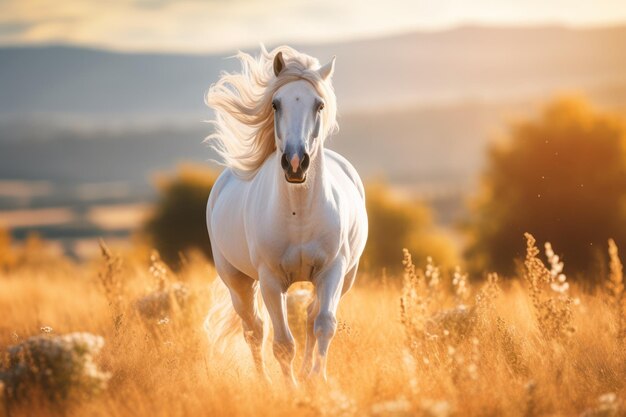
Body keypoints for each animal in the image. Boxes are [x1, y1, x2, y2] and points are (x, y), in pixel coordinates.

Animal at [205, 46, 366, 384]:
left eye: (319, 105)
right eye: (276, 104)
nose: (295, 163)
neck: (299, 212)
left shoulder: (332, 271)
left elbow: (323, 324)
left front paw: (316, 381)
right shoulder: (269, 280)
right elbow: (281, 343)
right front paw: (290, 389)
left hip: (345, 277)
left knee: (309, 317)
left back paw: (305, 374)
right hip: (237, 280)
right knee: (253, 330)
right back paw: (265, 382)